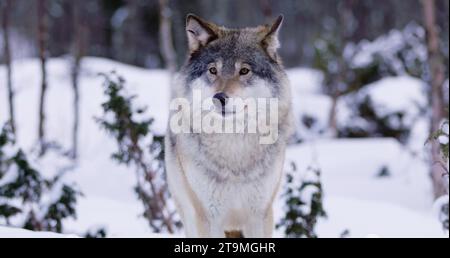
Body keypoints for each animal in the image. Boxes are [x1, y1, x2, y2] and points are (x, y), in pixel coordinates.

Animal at [165, 14, 296, 238]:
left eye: (244, 71)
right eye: (213, 70)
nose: (219, 98)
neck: (233, 149)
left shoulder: (259, 215)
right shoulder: (208, 218)